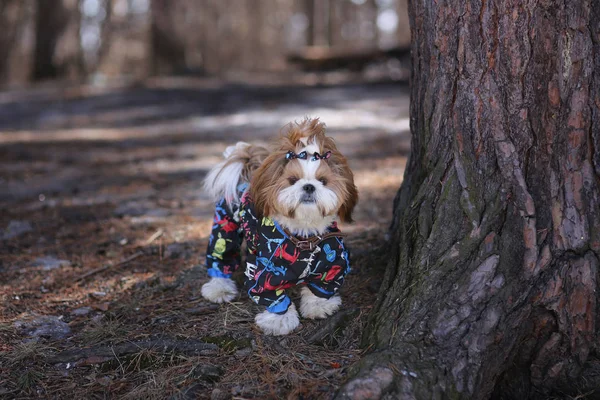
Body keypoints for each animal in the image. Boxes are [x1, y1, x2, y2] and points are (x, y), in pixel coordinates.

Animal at [202, 118, 356, 334]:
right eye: (292, 180)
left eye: (323, 181)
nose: (309, 186)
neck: (303, 238)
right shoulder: (264, 274)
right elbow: (272, 295)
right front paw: (280, 320)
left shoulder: (335, 264)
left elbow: (321, 287)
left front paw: (318, 305)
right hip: (225, 226)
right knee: (220, 256)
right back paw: (219, 287)